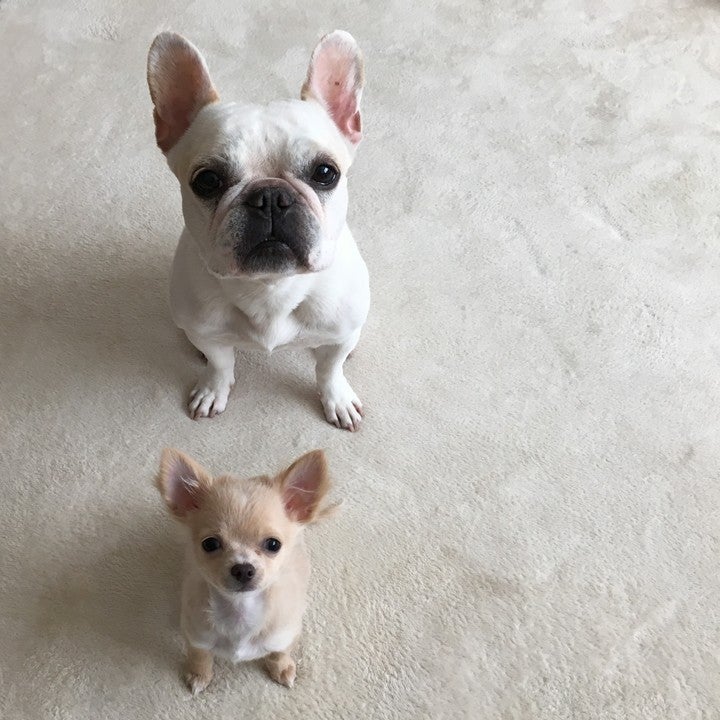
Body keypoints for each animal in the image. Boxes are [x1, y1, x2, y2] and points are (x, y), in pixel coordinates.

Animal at [146, 31, 370, 430]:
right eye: (207, 181)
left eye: (325, 173)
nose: (270, 197)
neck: (270, 288)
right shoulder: (207, 332)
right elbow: (220, 364)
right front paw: (213, 389)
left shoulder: (337, 337)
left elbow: (329, 369)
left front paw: (337, 399)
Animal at [156, 447, 335, 693]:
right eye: (209, 544)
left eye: (273, 544)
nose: (242, 569)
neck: (240, 610)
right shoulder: (196, 635)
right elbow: (199, 656)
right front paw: (199, 675)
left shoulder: (287, 633)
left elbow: (279, 653)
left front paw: (282, 669)